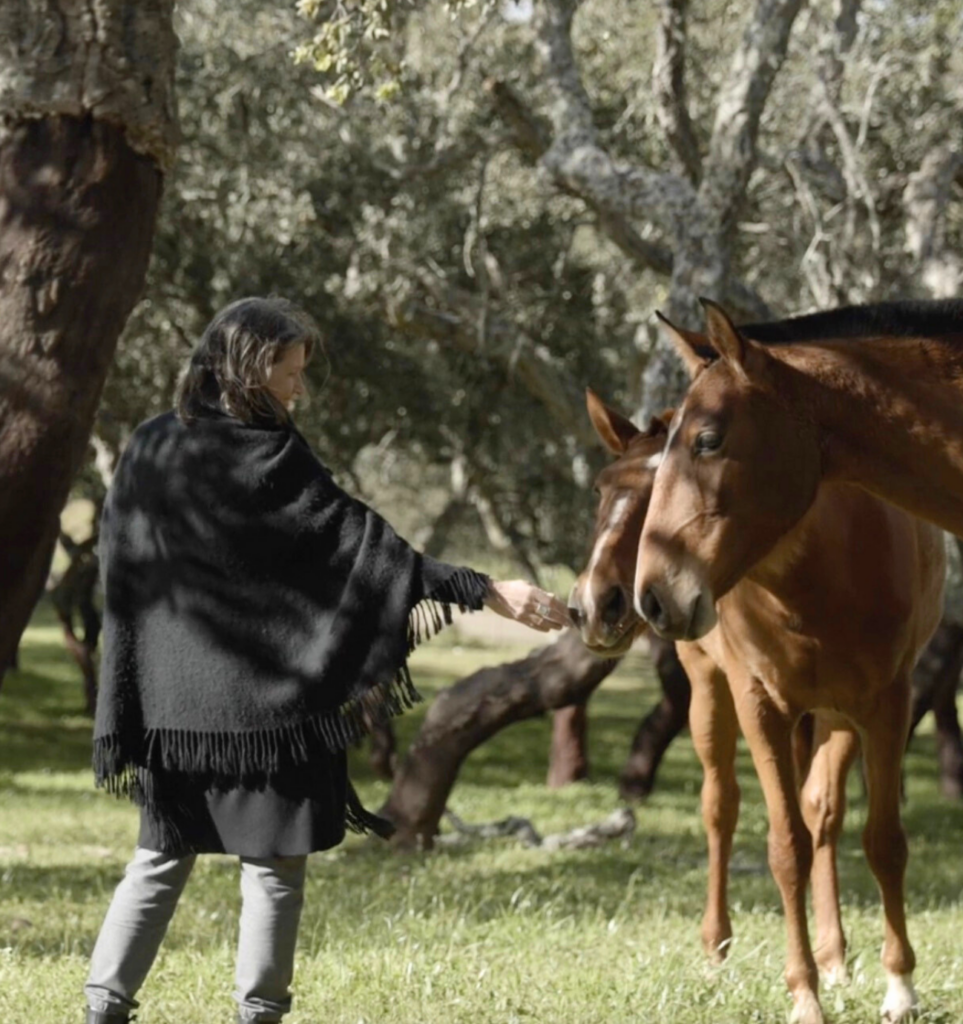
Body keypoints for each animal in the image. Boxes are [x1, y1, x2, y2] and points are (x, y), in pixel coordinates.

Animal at [570, 385, 945, 1024]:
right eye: (600, 489)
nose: (597, 604)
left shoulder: (886, 702)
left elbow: (882, 840)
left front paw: (899, 985)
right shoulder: (759, 702)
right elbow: (785, 846)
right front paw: (803, 994)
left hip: (836, 716)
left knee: (822, 811)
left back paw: (835, 955)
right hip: (708, 691)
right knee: (721, 807)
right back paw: (717, 949)